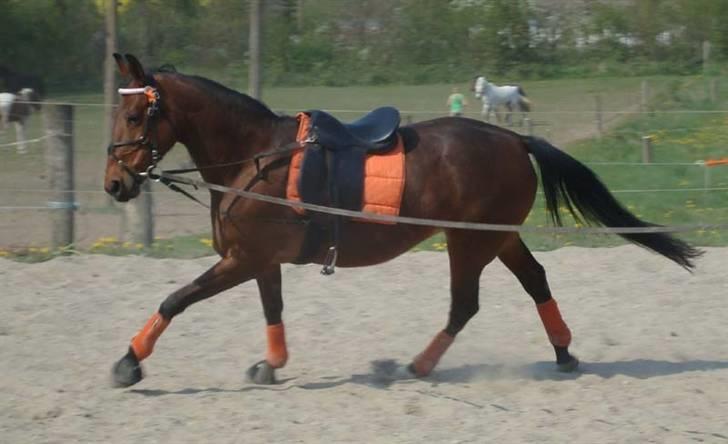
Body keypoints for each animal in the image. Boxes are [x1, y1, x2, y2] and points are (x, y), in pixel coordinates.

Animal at [104, 54, 700, 388]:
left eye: (134, 115)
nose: (113, 184)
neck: (255, 157)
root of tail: (513, 138)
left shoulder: (243, 258)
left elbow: (175, 300)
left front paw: (128, 362)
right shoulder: (259, 260)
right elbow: (272, 311)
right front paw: (271, 365)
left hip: (468, 242)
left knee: (465, 304)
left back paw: (417, 366)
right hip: (499, 237)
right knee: (535, 281)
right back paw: (564, 353)